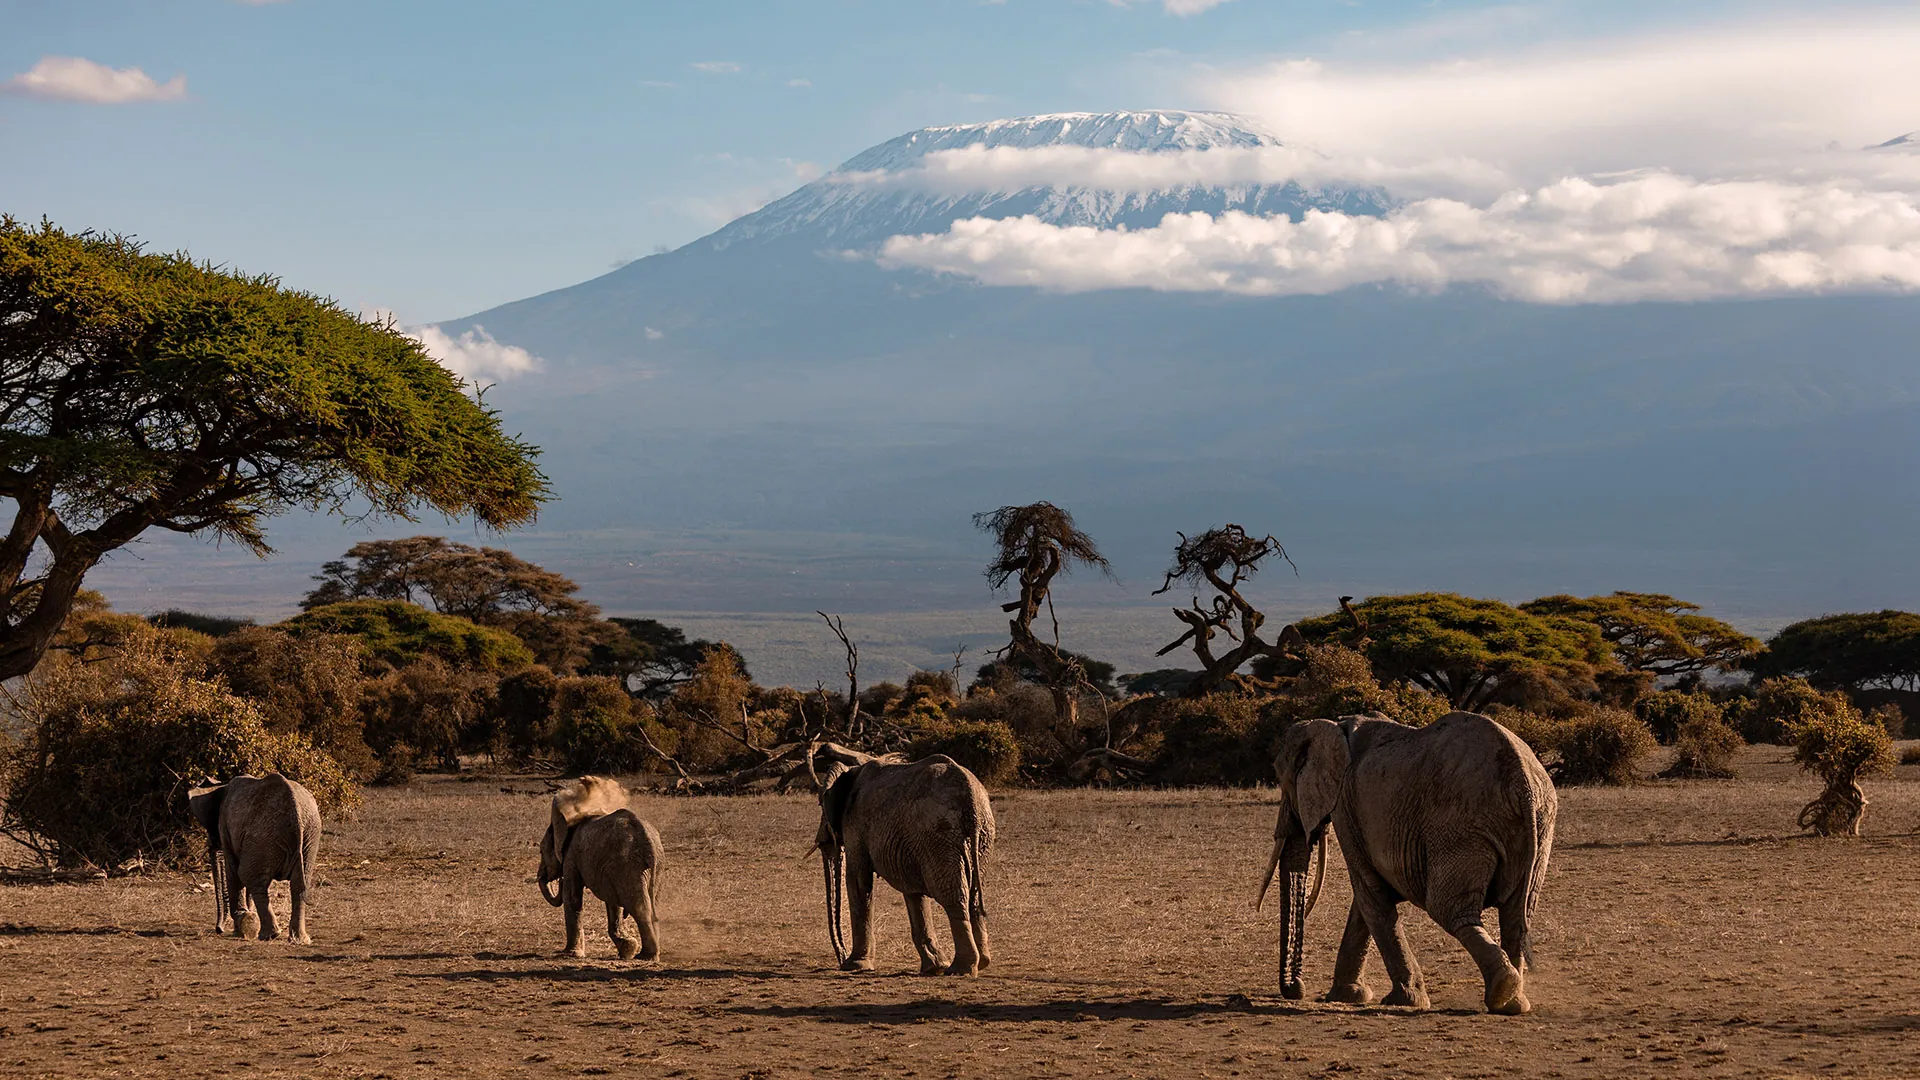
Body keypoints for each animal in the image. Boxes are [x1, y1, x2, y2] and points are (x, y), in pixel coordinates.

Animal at [188, 773, 322, 943]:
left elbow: (233, 871)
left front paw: (240, 927)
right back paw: (299, 940)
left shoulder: (225, 825)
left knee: (249, 876)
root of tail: (296, 812)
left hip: (264, 835)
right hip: (310, 835)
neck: (221, 785)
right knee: (298, 884)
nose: (219, 930)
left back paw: (268, 935)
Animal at [537, 776, 663, 961]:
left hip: (629, 865)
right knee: (652, 904)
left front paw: (570, 955)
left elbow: (572, 898)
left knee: (641, 908)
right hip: (648, 867)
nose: (558, 880)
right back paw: (647, 954)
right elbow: (613, 903)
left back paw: (645, 956)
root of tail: (648, 841)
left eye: (541, 851)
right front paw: (627, 949)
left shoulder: (571, 856)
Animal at [810, 743, 994, 976]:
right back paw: (981, 963)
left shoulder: (856, 824)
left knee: (953, 895)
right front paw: (933, 968)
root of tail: (970, 797)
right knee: (973, 895)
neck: (854, 766)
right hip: (979, 837)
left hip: (940, 833)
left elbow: (858, 881)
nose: (841, 959)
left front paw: (855, 966)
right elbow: (913, 891)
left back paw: (960, 969)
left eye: (820, 804)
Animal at [1258, 711, 1556, 1014]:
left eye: (1283, 779)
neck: (1333, 725)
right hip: (1539, 824)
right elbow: (1366, 900)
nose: (1296, 989)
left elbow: (1370, 894)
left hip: (1460, 826)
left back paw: (1502, 990)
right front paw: (1349, 995)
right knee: (1517, 915)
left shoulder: (1344, 806)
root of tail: (1521, 781)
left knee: (1449, 910)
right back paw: (1513, 1002)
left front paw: (1404, 1000)